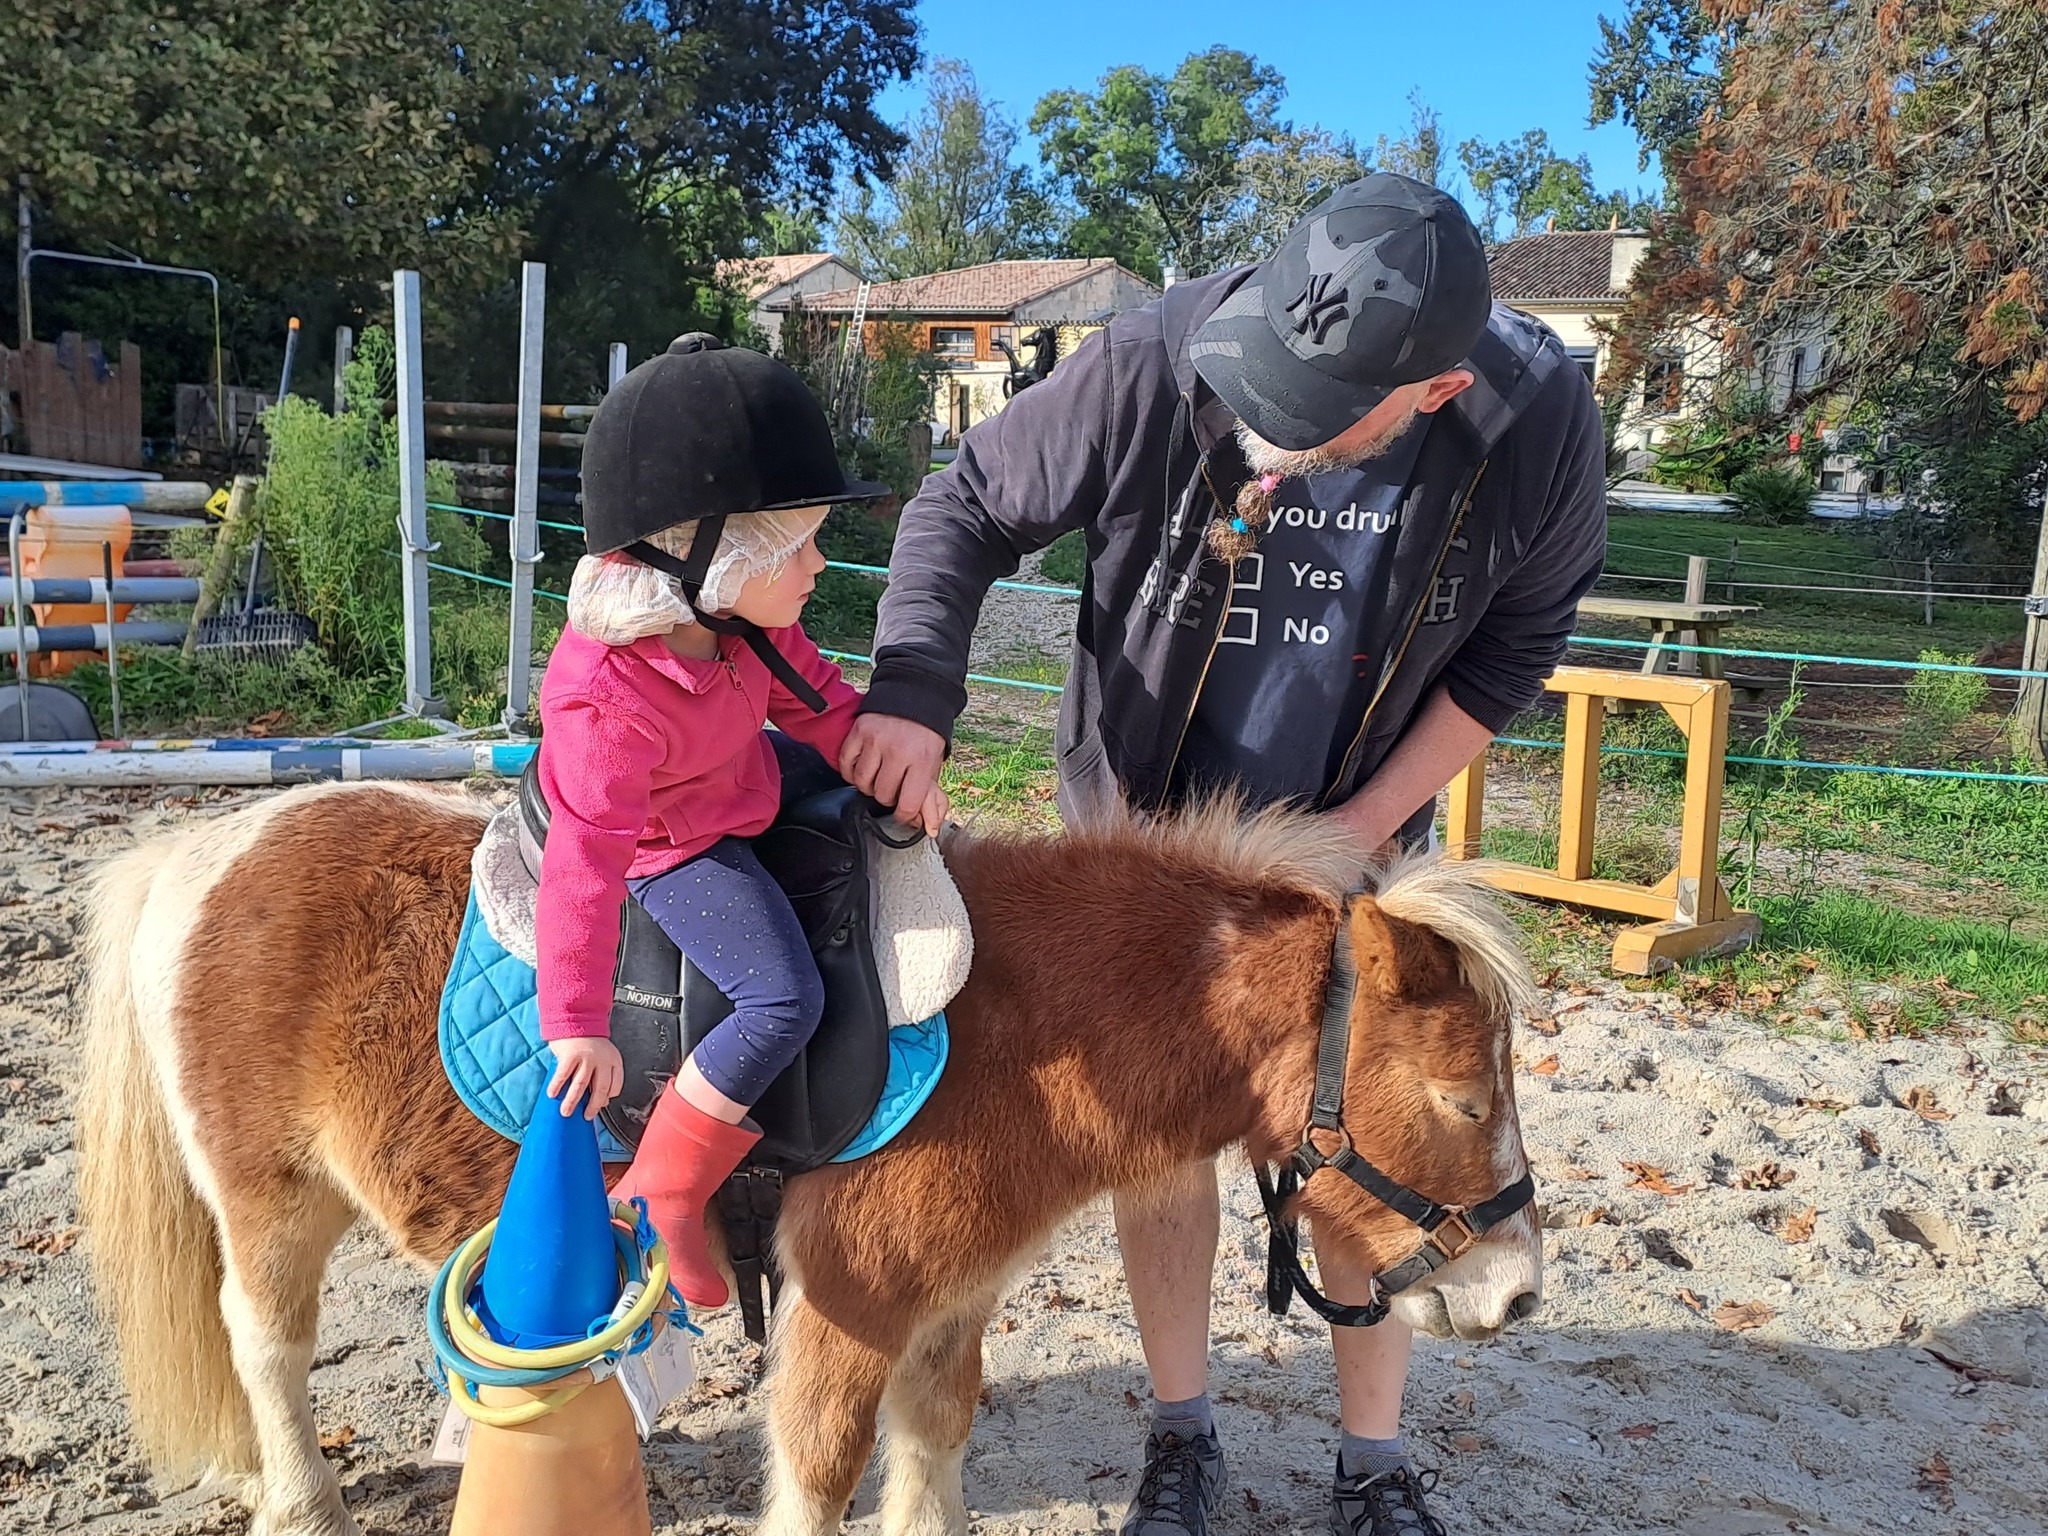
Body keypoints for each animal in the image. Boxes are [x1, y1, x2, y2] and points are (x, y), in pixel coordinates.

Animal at [72, 782, 1540, 1536]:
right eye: (1463, 1098)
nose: (1517, 1293)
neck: (1022, 1029)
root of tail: (204, 846)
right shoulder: (847, 1311)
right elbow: (825, 1469)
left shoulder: (951, 1309)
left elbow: (931, 1455)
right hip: (271, 1205)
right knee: (262, 1343)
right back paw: (298, 1501)